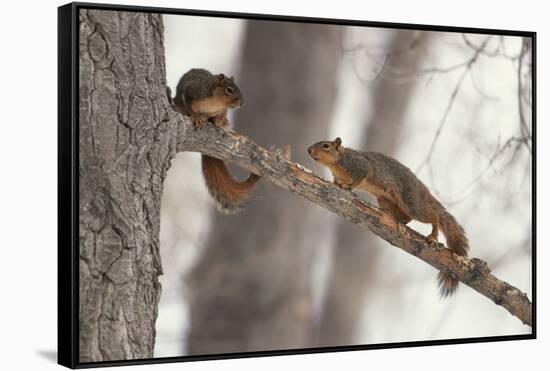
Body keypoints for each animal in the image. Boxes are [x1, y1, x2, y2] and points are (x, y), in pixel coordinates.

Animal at [175, 68, 260, 214]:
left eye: (238, 88)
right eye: (229, 90)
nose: (241, 103)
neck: (215, 102)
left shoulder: (222, 110)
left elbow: (219, 115)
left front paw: (217, 121)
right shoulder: (192, 91)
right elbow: (190, 105)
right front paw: (196, 116)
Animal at [310, 138, 470, 298]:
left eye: (326, 146)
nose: (309, 150)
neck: (336, 164)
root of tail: (424, 191)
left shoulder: (361, 165)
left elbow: (359, 178)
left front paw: (347, 186)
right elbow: (337, 181)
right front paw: (337, 184)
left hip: (411, 202)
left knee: (433, 215)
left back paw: (433, 235)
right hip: (387, 201)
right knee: (406, 216)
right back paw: (398, 220)